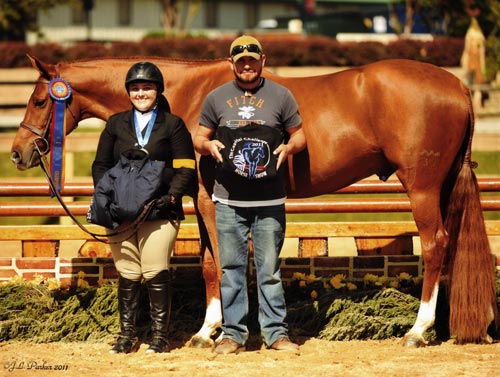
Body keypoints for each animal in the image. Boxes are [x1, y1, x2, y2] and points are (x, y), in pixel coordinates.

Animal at [9, 54, 498, 346]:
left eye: (39, 100)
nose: (18, 152)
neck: (185, 95)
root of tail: (457, 86)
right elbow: (215, 258)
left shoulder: (208, 200)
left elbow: (216, 262)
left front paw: (210, 332)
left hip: (422, 187)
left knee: (435, 245)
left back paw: (418, 329)